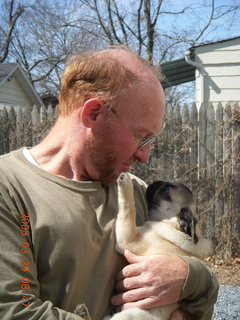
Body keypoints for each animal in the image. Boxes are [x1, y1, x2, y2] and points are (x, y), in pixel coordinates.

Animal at [105, 174, 212, 318]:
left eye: (165, 190)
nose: (157, 182)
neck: (174, 226)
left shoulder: (128, 238)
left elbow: (129, 208)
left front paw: (126, 180)